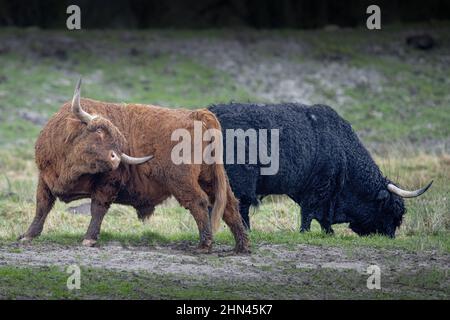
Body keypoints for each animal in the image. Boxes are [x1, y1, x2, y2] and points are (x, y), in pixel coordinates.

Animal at [18, 79, 250, 252]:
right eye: (99, 131)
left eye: (120, 143)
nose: (115, 158)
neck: (70, 168)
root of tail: (197, 114)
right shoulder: (45, 179)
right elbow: (42, 206)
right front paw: (27, 235)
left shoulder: (107, 183)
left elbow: (97, 209)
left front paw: (89, 239)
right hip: (210, 177)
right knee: (229, 205)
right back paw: (241, 246)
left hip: (182, 180)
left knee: (199, 202)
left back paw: (205, 244)